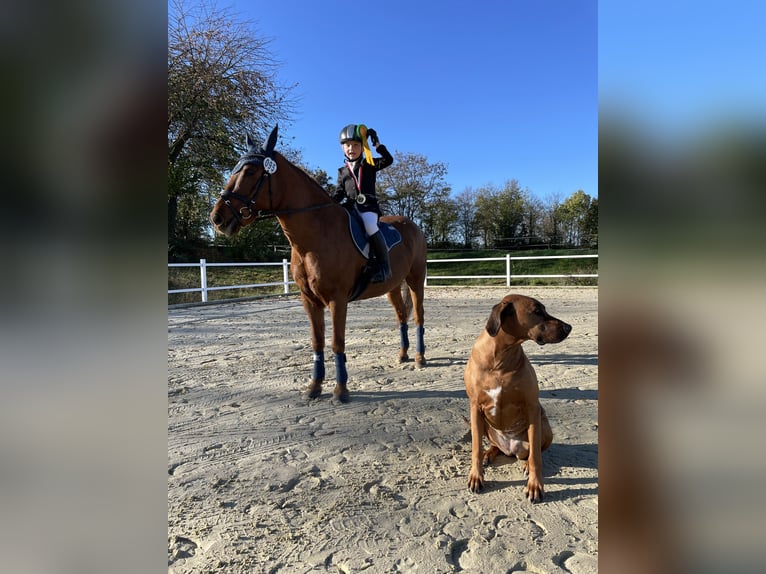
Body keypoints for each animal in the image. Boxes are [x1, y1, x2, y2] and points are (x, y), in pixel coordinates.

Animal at [210, 126, 426, 404]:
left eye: (249, 172)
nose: (217, 218)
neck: (315, 237)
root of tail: (412, 226)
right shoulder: (309, 300)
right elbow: (317, 342)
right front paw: (314, 386)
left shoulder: (337, 299)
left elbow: (337, 342)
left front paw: (341, 391)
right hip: (392, 286)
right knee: (401, 315)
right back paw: (403, 354)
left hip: (415, 280)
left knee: (419, 316)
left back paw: (420, 358)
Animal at [464, 294, 572, 502]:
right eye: (537, 311)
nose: (569, 327)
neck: (500, 359)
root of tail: (510, 449)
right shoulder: (475, 407)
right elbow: (475, 448)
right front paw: (476, 476)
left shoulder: (532, 407)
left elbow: (536, 457)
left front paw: (535, 486)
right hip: (485, 425)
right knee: (493, 445)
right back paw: (489, 453)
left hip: (544, 425)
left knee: (534, 452)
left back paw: (526, 464)